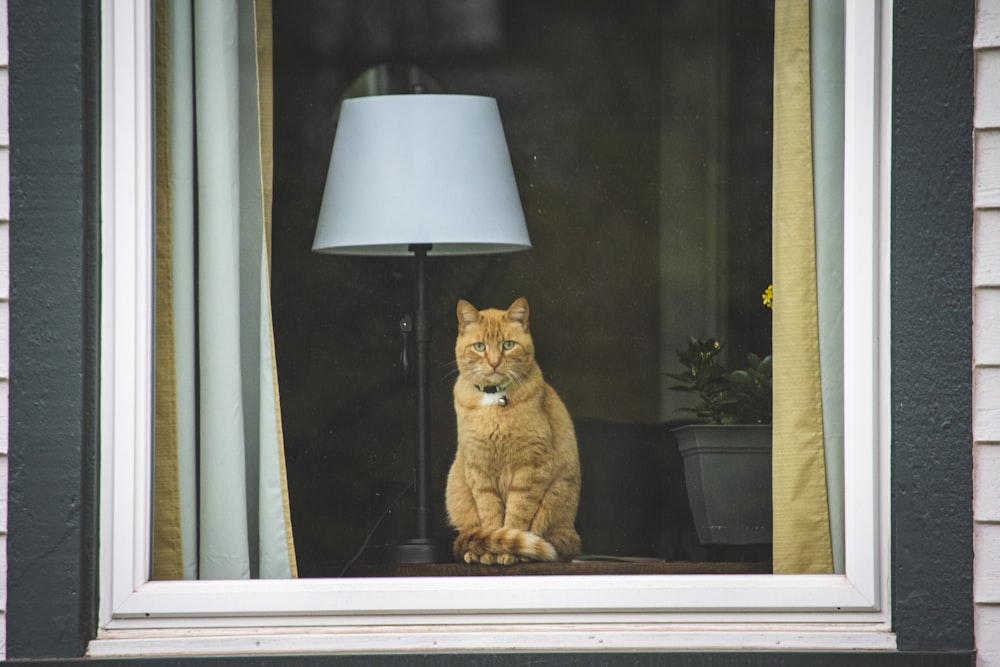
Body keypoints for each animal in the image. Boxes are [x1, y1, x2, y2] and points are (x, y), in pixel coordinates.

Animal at [444, 298, 580, 564]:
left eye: (508, 345)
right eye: (479, 346)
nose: (494, 362)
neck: (494, 399)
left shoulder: (530, 467)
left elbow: (516, 517)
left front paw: (506, 551)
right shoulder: (479, 470)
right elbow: (490, 517)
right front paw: (490, 550)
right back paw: (473, 551)